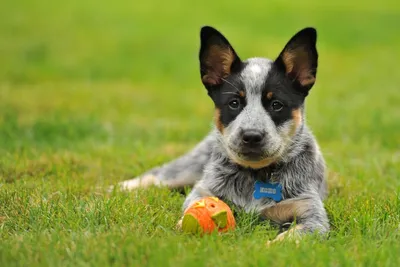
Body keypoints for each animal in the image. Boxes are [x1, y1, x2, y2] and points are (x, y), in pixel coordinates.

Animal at [118, 26, 328, 242]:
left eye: (276, 105)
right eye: (234, 103)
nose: (251, 136)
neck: (255, 175)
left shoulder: (310, 212)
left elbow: (295, 235)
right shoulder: (203, 190)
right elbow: (189, 212)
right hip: (188, 168)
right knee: (156, 175)